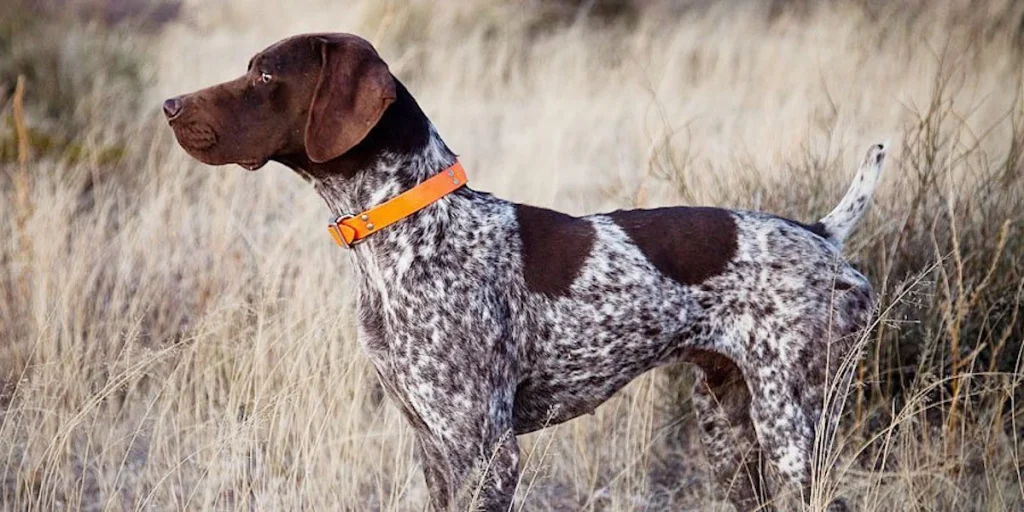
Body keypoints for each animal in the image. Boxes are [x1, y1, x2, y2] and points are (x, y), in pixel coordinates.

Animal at [163, 34, 884, 509]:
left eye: (263, 77)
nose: (169, 104)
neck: (414, 231)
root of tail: (820, 234)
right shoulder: (433, 445)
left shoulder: (487, 450)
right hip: (729, 429)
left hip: (792, 426)